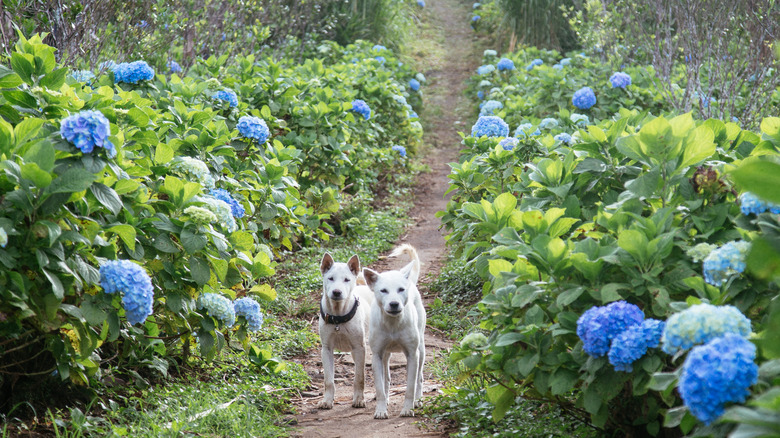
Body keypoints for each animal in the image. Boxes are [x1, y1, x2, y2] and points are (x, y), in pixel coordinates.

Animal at [318, 253, 376, 410]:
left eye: (346, 279)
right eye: (330, 278)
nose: (336, 292)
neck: (338, 318)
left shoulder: (359, 348)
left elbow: (359, 377)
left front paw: (359, 399)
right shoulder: (326, 350)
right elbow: (328, 380)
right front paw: (327, 401)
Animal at [364, 245, 426, 420]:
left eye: (400, 290)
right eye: (383, 290)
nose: (394, 304)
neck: (392, 324)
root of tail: (411, 281)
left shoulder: (412, 354)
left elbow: (410, 386)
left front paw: (408, 409)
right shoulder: (376, 355)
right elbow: (379, 387)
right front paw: (380, 410)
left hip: (421, 349)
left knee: (419, 377)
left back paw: (418, 400)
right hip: (386, 354)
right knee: (386, 377)